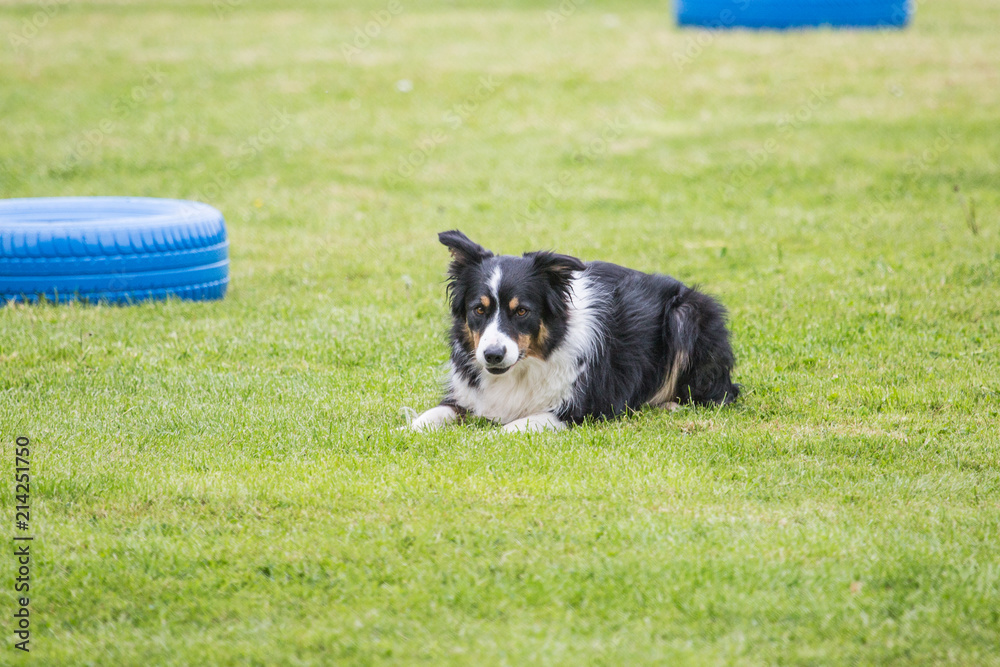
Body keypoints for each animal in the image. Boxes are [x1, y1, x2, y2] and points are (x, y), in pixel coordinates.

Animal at [410, 232, 740, 434]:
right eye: (479, 309)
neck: (526, 365)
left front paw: (479, 439)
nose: (492, 355)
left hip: (685, 314)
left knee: (720, 393)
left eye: (522, 311)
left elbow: (514, 426)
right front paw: (406, 431)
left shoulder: (582, 409)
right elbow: (433, 413)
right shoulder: (467, 395)